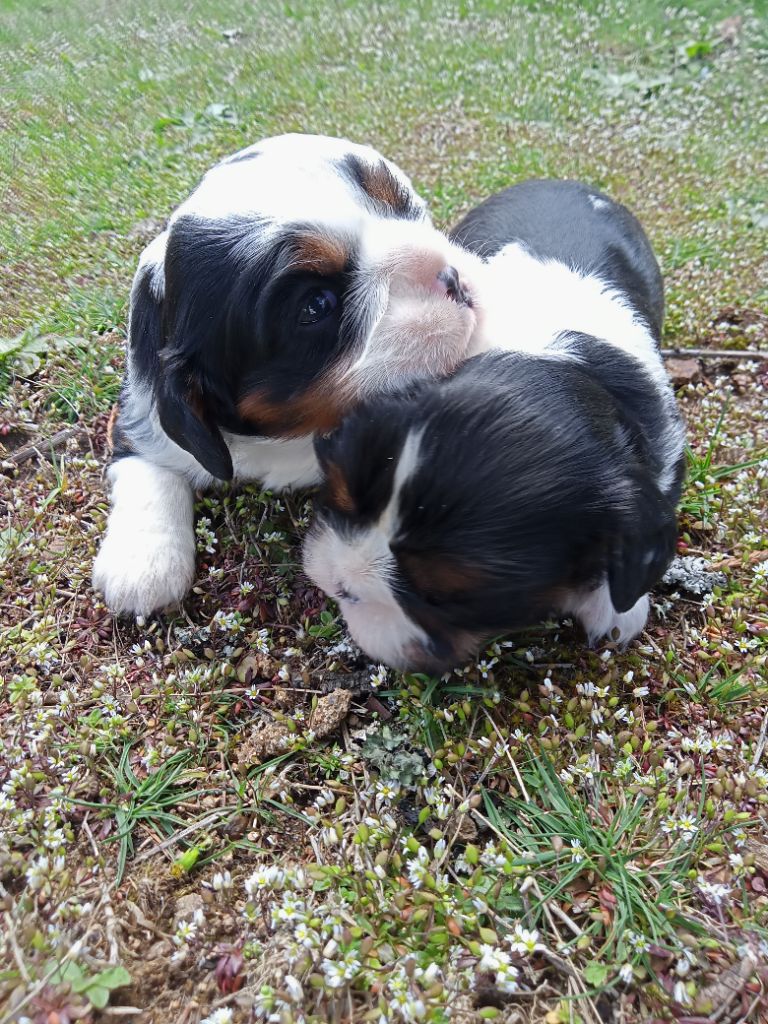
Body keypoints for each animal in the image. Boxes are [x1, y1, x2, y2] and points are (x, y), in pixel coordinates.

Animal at [93, 135, 483, 614]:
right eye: (315, 305)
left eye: (401, 204)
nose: (452, 277)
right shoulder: (139, 403)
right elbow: (145, 461)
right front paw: (143, 563)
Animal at [303, 178, 688, 671]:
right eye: (339, 497)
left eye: (445, 596)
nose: (339, 585)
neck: (562, 362)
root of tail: (564, 180)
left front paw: (614, 607)